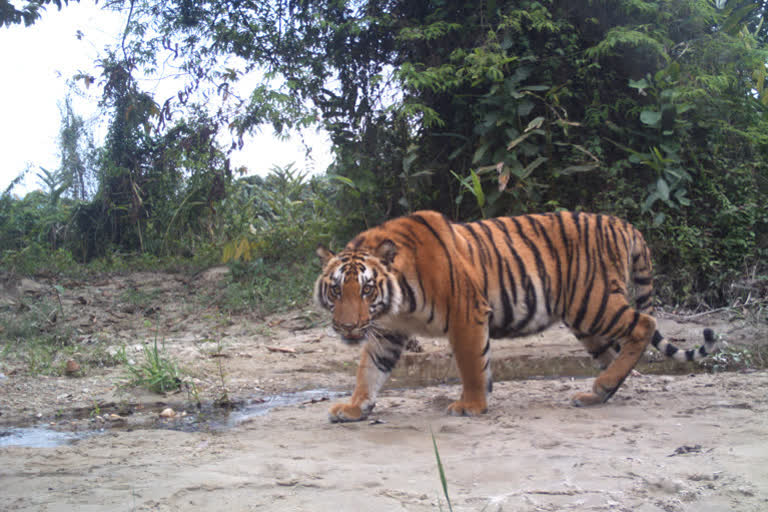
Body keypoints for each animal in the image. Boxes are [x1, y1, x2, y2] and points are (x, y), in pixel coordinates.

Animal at [310, 210, 712, 422]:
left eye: (366, 289)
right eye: (336, 290)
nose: (347, 327)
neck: (397, 303)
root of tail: (621, 223)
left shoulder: (467, 314)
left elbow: (472, 364)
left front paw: (471, 405)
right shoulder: (386, 333)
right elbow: (369, 371)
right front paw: (354, 407)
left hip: (594, 303)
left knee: (645, 324)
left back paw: (601, 388)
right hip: (587, 321)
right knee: (616, 352)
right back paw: (599, 392)